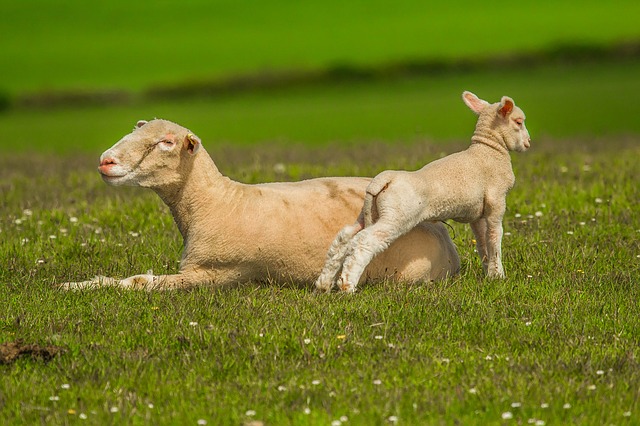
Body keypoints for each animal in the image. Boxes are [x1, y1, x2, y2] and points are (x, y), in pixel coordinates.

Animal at [61, 119, 460, 290]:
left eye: (167, 143)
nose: (106, 161)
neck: (216, 201)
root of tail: (447, 242)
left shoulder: (215, 273)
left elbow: (141, 282)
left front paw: (81, 286)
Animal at [315, 91, 530, 293]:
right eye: (519, 122)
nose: (528, 142)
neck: (489, 150)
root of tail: (384, 179)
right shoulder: (496, 201)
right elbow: (494, 237)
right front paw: (499, 276)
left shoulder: (476, 214)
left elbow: (482, 243)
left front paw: (489, 273)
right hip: (396, 216)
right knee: (364, 241)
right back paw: (347, 286)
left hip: (370, 212)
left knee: (345, 237)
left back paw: (324, 283)